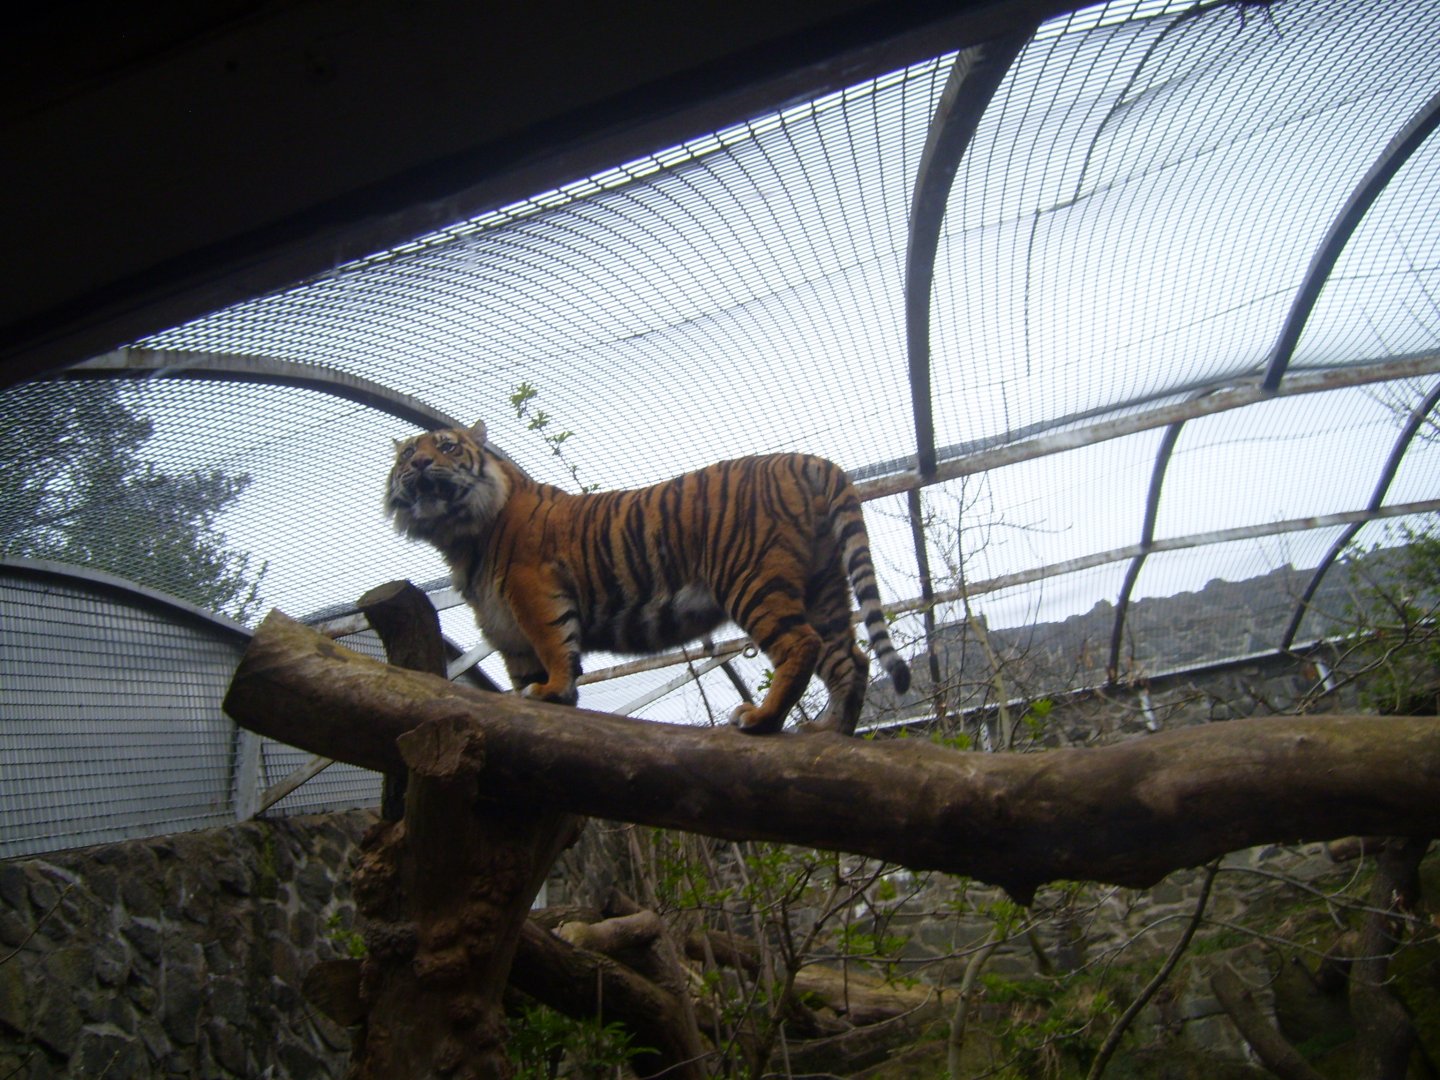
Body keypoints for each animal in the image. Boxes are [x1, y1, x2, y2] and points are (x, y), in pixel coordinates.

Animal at [386, 422, 911, 735]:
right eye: (408, 452)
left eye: (447, 446)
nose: (419, 463)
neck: (459, 539)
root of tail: (811, 460)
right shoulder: (503, 628)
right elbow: (522, 675)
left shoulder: (533, 592)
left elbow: (554, 646)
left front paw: (553, 690)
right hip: (825, 586)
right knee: (850, 658)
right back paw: (831, 732)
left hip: (751, 578)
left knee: (803, 644)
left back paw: (760, 719)